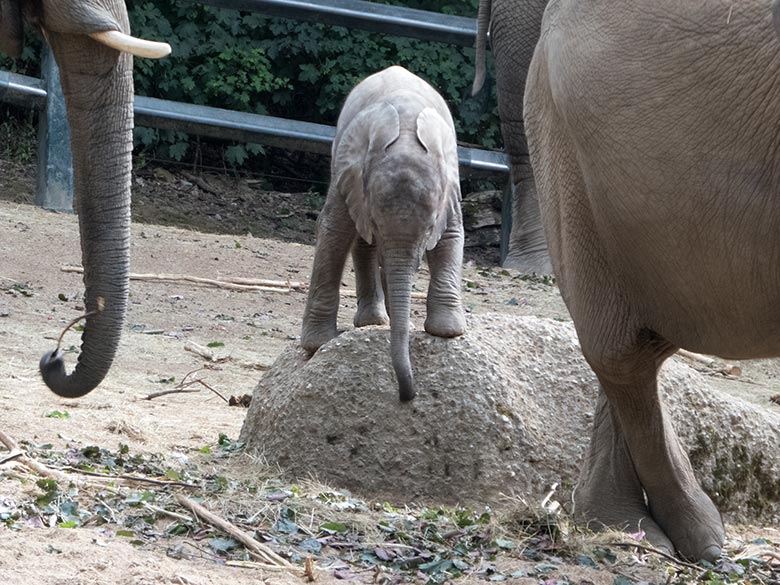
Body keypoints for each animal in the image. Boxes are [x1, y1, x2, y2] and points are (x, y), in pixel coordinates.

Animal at [302, 65, 466, 402]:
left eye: (429, 229)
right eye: (377, 223)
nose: (408, 396)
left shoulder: (451, 183)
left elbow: (451, 236)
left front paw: (447, 332)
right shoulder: (348, 172)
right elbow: (333, 233)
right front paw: (316, 345)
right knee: (360, 242)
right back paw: (374, 322)